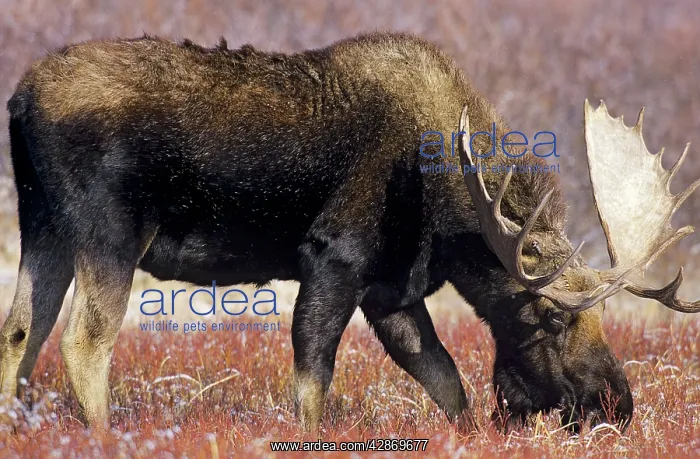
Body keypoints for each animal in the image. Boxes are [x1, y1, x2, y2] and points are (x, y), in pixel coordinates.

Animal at [0, 32, 698, 432]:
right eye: (552, 317)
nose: (617, 406)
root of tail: (19, 100)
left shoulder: (389, 288)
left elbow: (446, 382)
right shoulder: (335, 256)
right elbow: (313, 376)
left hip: (44, 225)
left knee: (19, 332)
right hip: (109, 233)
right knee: (82, 343)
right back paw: (103, 437)